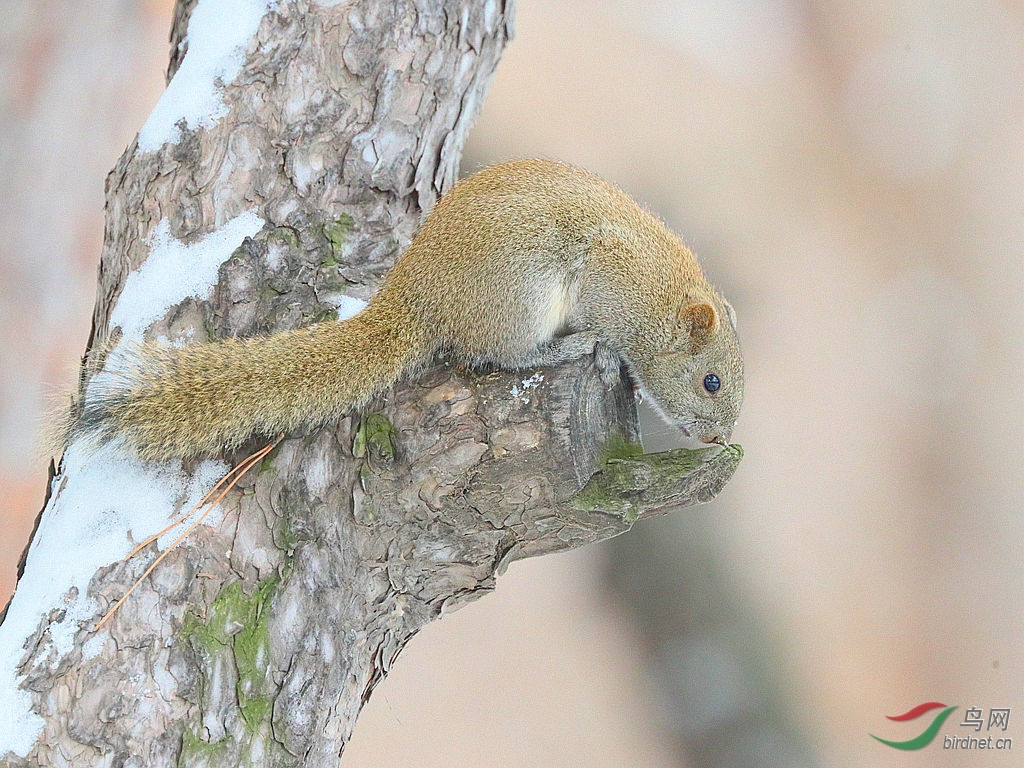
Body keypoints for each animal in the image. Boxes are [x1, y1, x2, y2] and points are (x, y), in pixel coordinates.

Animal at [72, 159, 745, 460]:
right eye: (710, 381)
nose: (719, 438)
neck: (661, 294)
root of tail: (420, 297)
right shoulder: (609, 276)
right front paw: (608, 356)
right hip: (520, 297)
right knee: (496, 354)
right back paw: (566, 347)